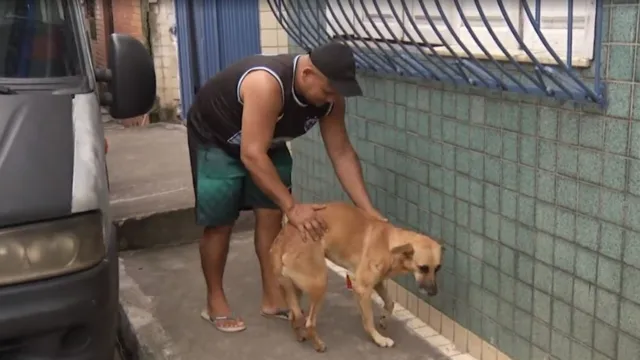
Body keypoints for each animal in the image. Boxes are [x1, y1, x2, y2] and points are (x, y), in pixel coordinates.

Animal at [268, 201, 442, 352]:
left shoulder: (376, 282)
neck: (389, 243)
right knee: (309, 323)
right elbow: (368, 320)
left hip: (294, 289)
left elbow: (390, 303)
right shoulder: (363, 288)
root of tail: (281, 243)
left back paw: (300, 336)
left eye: (438, 268)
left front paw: (384, 319)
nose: (434, 293)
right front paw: (379, 339)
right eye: (423, 268)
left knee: (294, 317)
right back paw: (318, 345)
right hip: (320, 284)